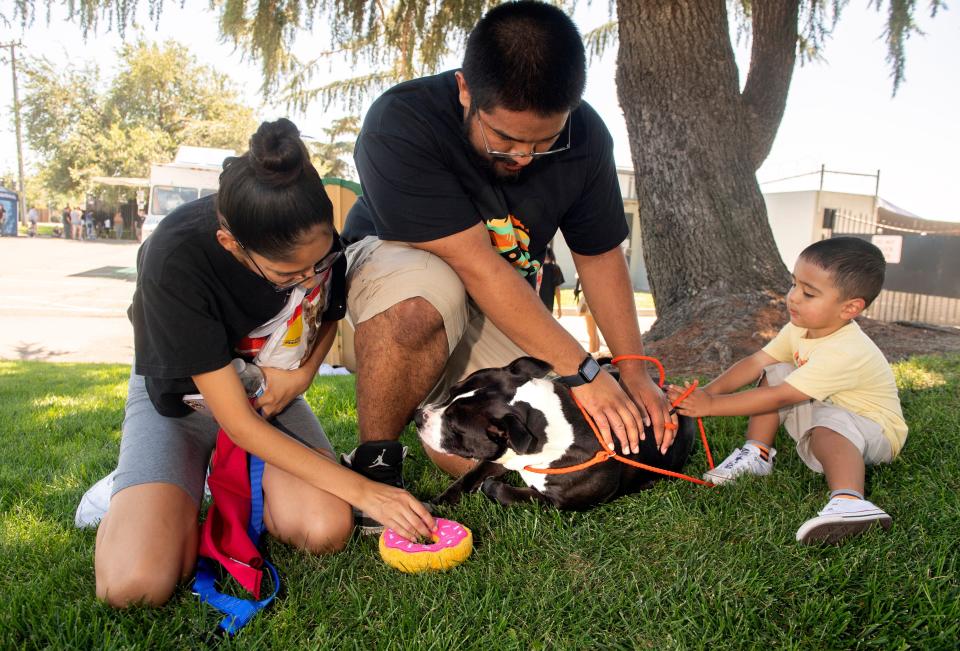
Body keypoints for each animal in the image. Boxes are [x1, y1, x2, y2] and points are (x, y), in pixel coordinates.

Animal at [416, 360, 692, 512]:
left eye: (454, 427)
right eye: (449, 391)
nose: (418, 416)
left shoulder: (556, 503)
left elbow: (507, 493)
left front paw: (492, 487)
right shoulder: (501, 455)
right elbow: (467, 478)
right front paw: (436, 504)